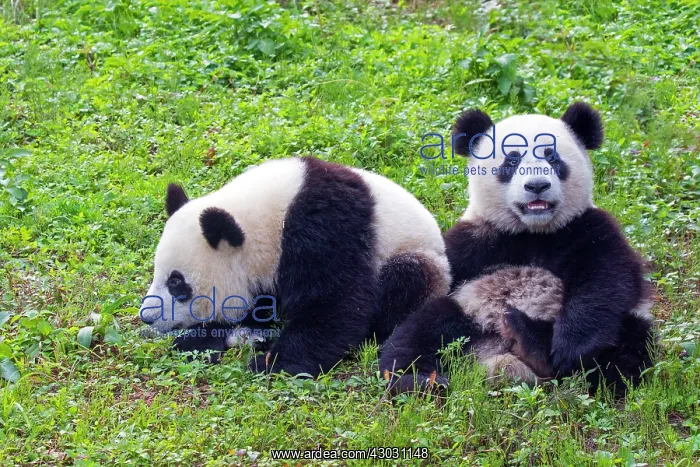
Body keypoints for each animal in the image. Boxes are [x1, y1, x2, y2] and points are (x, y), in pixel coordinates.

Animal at [139, 156, 451, 376]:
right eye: (157, 273)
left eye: (176, 283)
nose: (147, 317)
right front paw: (201, 340)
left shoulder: (325, 230)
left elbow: (336, 303)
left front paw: (270, 362)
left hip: (415, 257)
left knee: (406, 281)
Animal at [379, 102, 655, 395]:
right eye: (511, 162)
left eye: (552, 158)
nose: (537, 185)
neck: (531, 232)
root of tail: (495, 354)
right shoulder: (477, 238)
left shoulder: (586, 228)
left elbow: (606, 279)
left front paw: (570, 347)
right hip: (467, 309)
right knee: (419, 331)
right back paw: (419, 380)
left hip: (626, 326)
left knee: (627, 350)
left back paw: (531, 339)